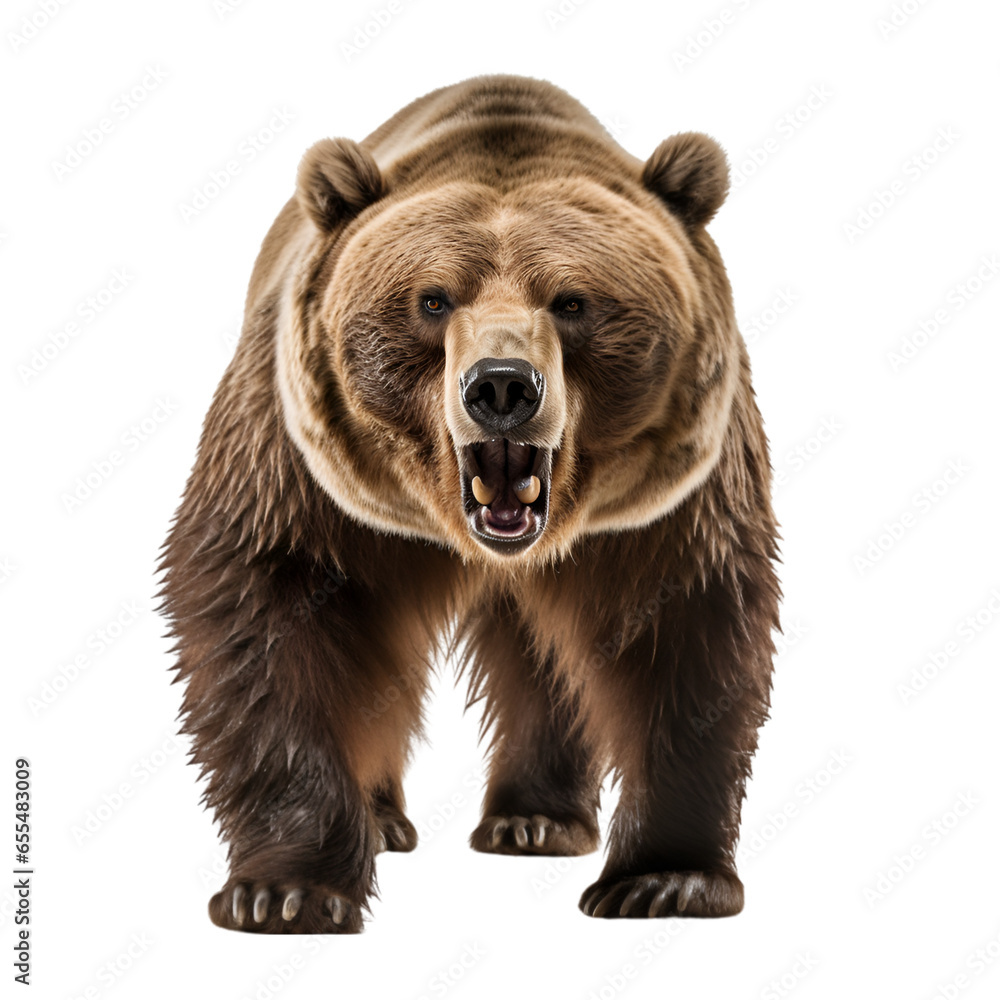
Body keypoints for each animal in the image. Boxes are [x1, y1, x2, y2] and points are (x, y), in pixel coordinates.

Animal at [159, 74, 780, 934]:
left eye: (573, 301)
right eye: (432, 299)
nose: (503, 387)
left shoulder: (672, 505)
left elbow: (688, 634)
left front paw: (666, 879)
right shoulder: (302, 473)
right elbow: (267, 614)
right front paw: (283, 890)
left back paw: (536, 819)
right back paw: (388, 818)